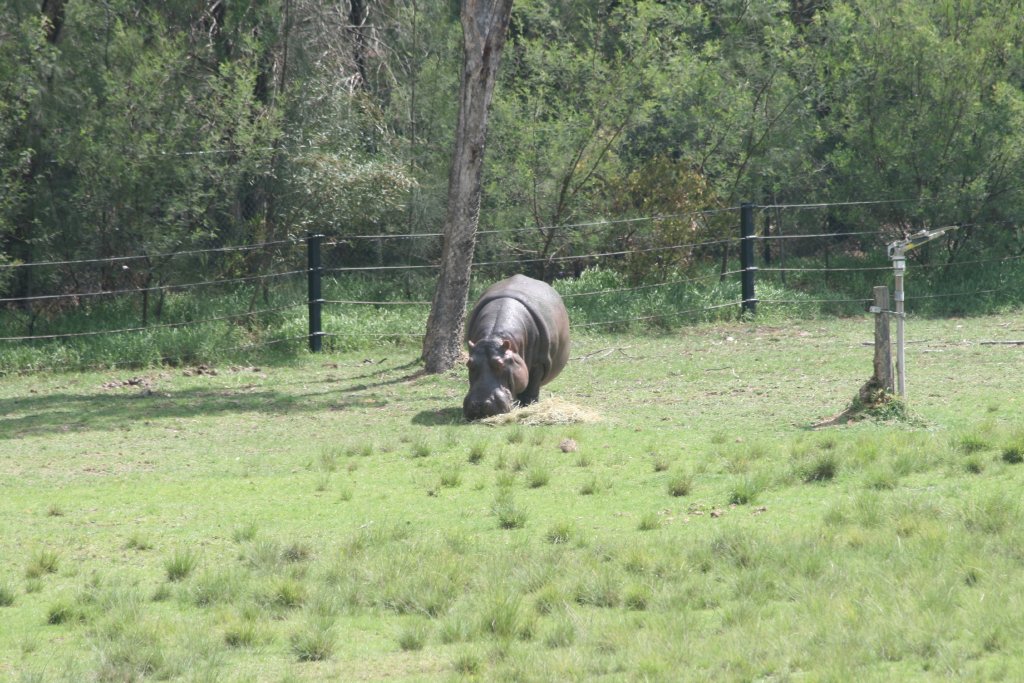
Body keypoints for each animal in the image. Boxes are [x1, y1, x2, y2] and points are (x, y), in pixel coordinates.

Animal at [463, 274, 570, 420]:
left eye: (500, 364)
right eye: (469, 363)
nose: (479, 405)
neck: (494, 338)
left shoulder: (539, 362)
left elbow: (532, 387)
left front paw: (529, 405)